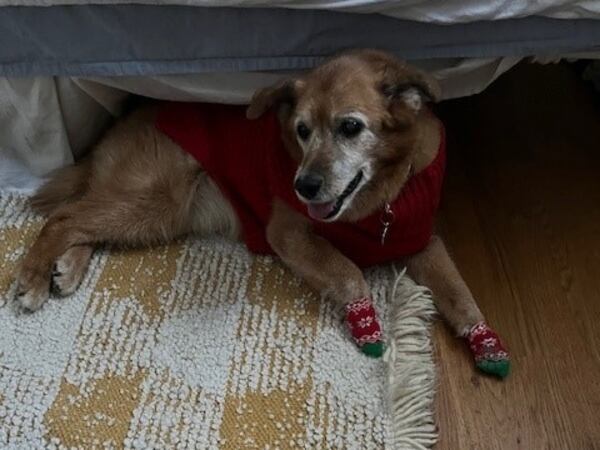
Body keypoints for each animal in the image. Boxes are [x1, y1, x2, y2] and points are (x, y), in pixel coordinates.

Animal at [16, 50, 508, 376]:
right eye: (301, 131)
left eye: (351, 127)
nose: (302, 186)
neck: (385, 194)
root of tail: (121, 121)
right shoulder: (289, 233)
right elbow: (349, 272)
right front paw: (365, 323)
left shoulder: (423, 243)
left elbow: (461, 295)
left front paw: (487, 343)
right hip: (156, 202)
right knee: (65, 217)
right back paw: (34, 276)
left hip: (154, 213)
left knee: (78, 217)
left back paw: (66, 268)